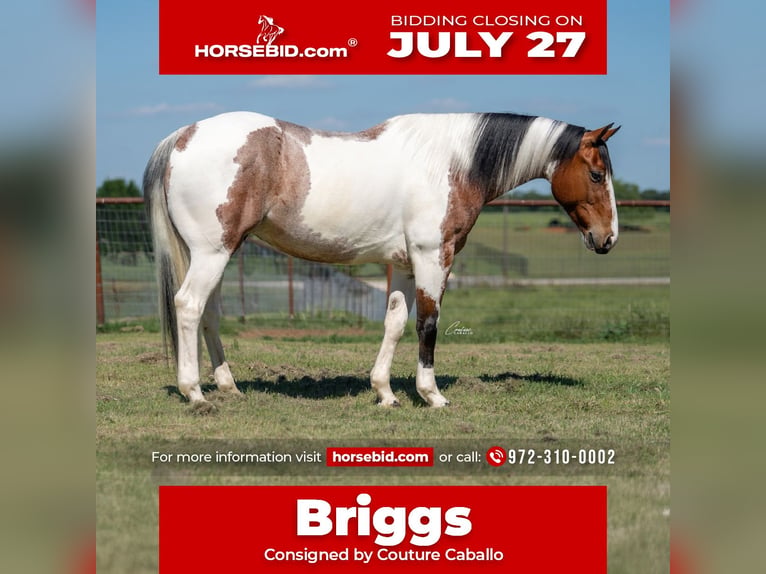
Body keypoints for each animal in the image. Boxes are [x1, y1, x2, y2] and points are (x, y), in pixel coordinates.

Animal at [144, 111, 620, 412]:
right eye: (597, 174)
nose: (608, 238)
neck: (450, 162)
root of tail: (183, 134)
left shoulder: (407, 265)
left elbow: (394, 323)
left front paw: (385, 394)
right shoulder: (433, 258)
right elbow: (428, 322)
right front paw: (431, 395)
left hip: (221, 253)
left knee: (209, 313)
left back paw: (229, 387)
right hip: (212, 253)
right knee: (189, 306)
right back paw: (195, 393)